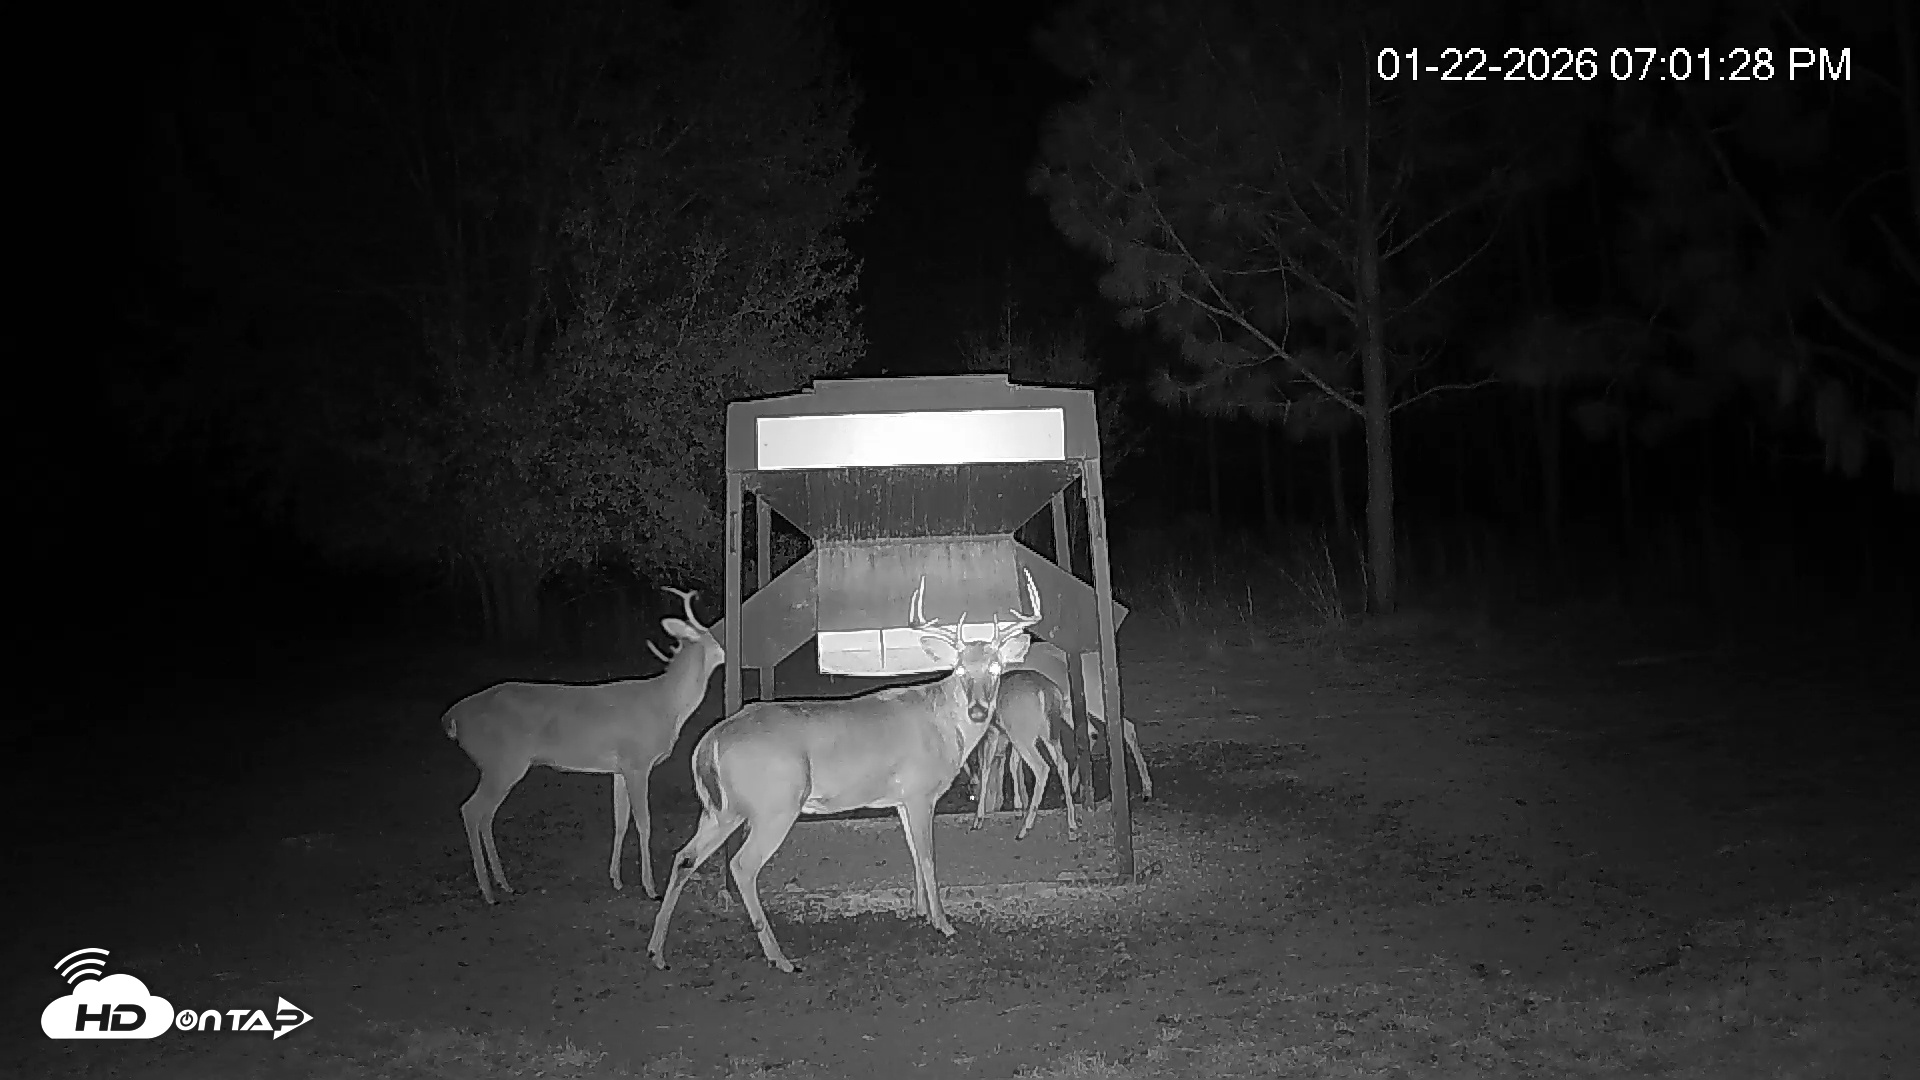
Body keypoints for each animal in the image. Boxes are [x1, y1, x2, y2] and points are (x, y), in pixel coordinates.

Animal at [442, 586, 724, 905]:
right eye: (714, 632)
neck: (667, 705)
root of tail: (452, 717)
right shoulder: (637, 761)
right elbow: (644, 822)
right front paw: (650, 887)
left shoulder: (619, 768)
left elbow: (620, 821)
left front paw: (616, 879)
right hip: (502, 762)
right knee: (471, 810)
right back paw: (489, 892)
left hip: (498, 766)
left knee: (485, 815)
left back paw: (503, 883)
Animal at [646, 569, 1043, 974]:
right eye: (961, 668)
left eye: (995, 667)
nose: (978, 710)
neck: (945, 727)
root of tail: (709, 741)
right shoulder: (920, 791)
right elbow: (928, 857)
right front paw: (943, 924)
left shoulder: (902, 798)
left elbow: (914, 853)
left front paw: (921, 912)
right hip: (775, 804)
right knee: (743, 865)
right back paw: (780, 957)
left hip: (720, 809)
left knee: (684, 857)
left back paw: (657, 951)